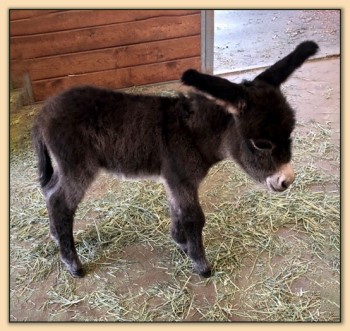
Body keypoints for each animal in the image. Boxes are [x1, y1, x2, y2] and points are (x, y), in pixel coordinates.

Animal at [32, 40, 320, 278]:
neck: (194, 134)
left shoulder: (174, 180)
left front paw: (181, 243)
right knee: (61, 202)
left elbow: (177, 210)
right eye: (261, 144)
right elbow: (194, 217)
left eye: (290, 133)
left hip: (65, 166)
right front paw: (201, 265)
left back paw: (56, 236)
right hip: (78, 166)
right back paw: (73, 264)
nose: (287, 180)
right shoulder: (182, 179)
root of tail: (44, 112)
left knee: (49, 191)